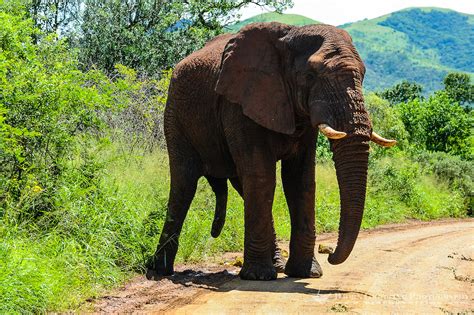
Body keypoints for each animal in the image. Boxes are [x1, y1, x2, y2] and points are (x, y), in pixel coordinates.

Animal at [145, 21, 396, 282]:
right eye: (310, 75)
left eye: (363, 75)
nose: (330, 255)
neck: (288, 36)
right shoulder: (239, 103)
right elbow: (262, 177)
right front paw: (258, 276)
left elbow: (300, 180)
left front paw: (306, 273)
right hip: (175, 114)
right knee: (184, 185)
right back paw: (159, 269)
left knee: (241, 184)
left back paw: (277, 264)